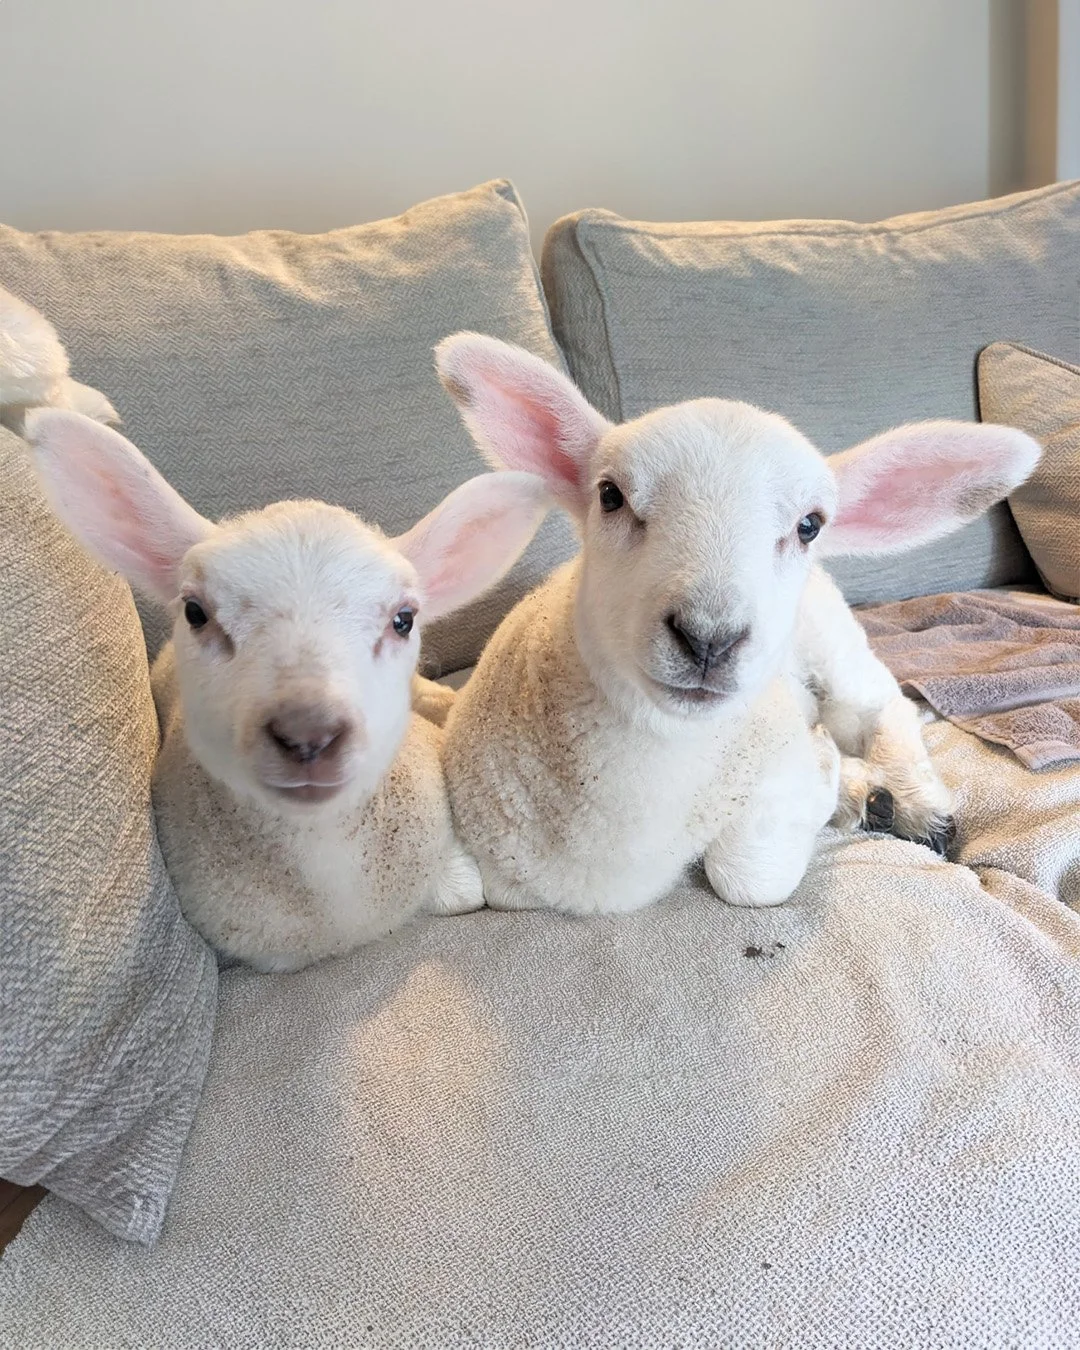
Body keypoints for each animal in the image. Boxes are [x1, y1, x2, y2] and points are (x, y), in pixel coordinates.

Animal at [435, 333, 1041, 916]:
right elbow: (457, 887)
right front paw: (846, 785)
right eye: (609, 496)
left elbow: (750, 878)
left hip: (834, 646)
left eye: (809, 525)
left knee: (885, 705)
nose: (708, 638)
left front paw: (832, 777)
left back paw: (913, 802)